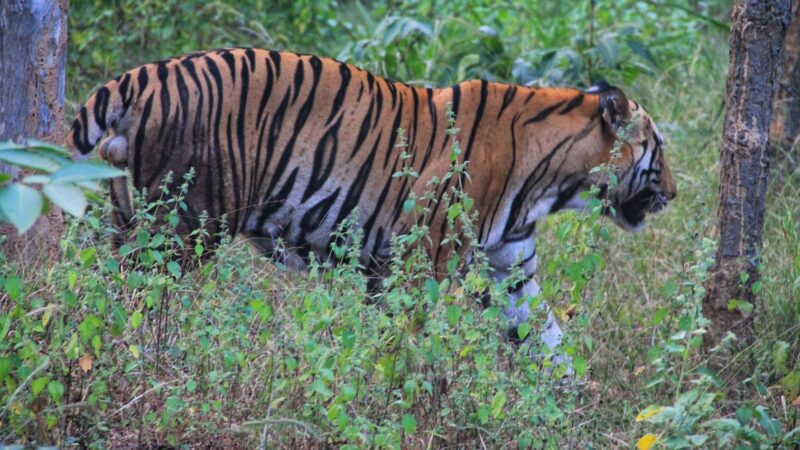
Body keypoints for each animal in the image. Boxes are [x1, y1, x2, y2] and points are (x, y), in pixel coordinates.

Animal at [65, 47, 676, 360]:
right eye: (660, 148)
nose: (673, 194)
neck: (552, 185)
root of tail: (136, 77)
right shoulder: (417, 264)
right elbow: (401, 347)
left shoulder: (510, 270)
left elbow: (550, 344)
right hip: (183, 227)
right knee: (135, 302)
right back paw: (144, 359)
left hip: (129, 218)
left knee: (102, 293)